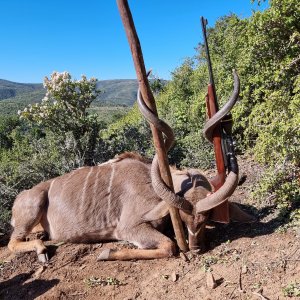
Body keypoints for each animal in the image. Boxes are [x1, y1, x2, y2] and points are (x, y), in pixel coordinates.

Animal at [8, 71, 253, 262]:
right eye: (183, 220)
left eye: (206, 219)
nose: (195, 248)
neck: (153, 186)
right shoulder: (129, 227)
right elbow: (169, 246)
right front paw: (106, 253)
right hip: (33, 206)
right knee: (12, 242)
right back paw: (41, 250)